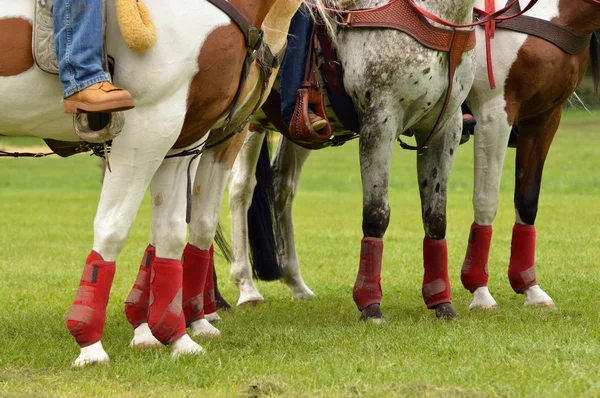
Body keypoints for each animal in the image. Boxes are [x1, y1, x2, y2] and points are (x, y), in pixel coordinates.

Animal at [0, 0, 300, 366]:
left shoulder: (185, 136)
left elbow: (172, 233)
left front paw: (176, 336)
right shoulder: (147, 127)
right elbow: (113, 228)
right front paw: (90, 344)